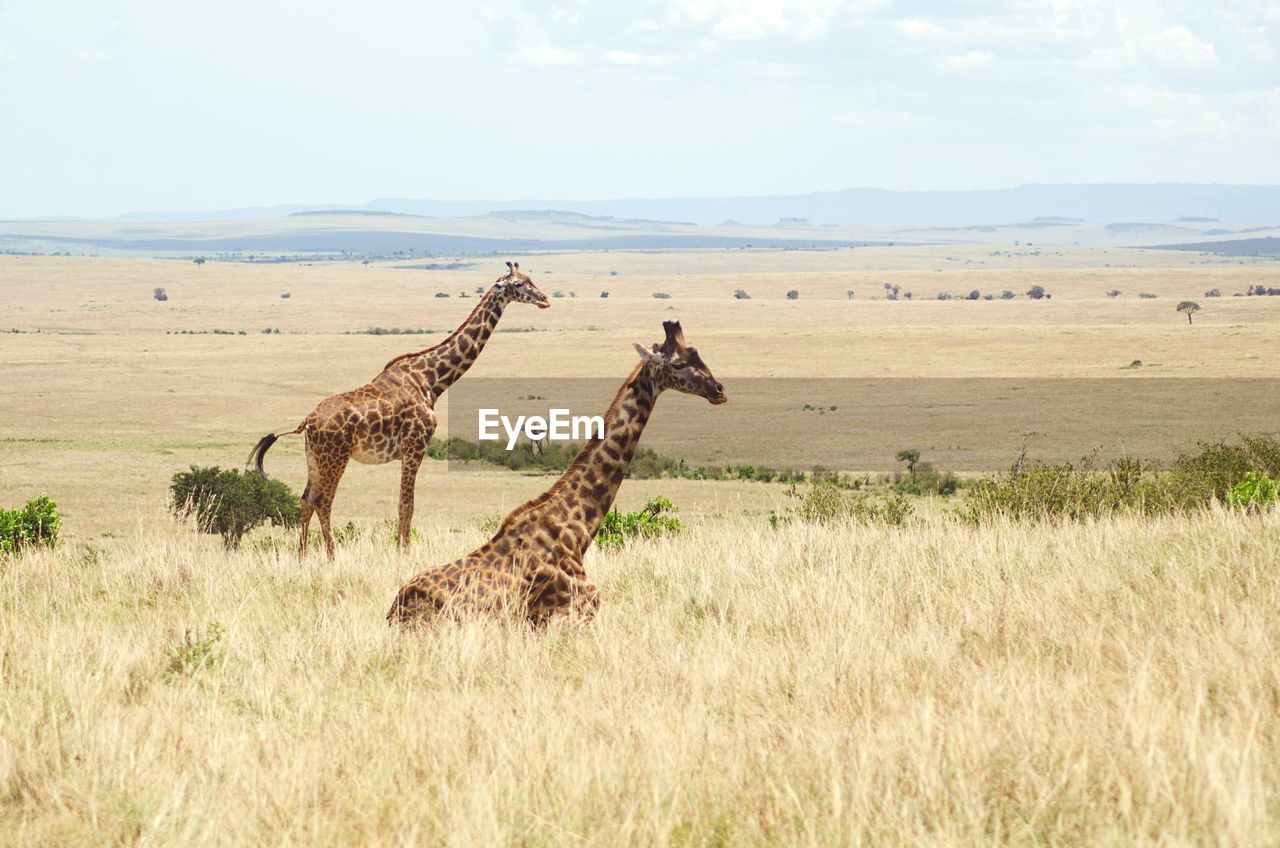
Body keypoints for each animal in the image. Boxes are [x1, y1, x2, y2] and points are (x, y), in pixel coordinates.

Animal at [249, 262, 550, 561]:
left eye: (529, 279)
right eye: (519, 284)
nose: (545, 300)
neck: (431, 381)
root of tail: (307, 422)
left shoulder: (408, 450)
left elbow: (405, 504)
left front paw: (401, 550)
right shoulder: (415, 447)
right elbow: (407, 504)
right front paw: (402, 553)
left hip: (313, 457)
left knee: (306, 500)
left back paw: (302, 556)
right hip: (335, 457)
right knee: (323, 501)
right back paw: (332, 557)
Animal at [384, 322, 727, 627]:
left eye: (698, 354)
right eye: (679, 363)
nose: (718, 390)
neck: (576, 527)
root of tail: (393, 613)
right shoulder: (572, 615)